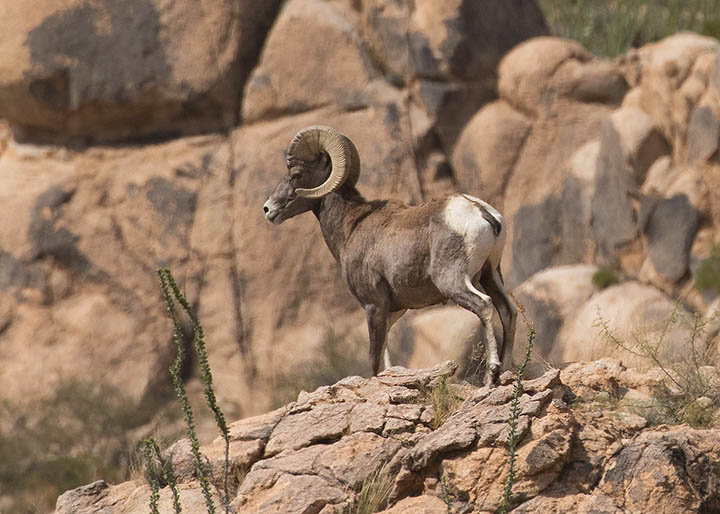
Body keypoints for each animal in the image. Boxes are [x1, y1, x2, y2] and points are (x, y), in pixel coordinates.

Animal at [264, 125, 516, 384]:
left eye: (296, 174)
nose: (268, 209)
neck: (351, 227)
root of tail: (482, 213)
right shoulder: (393, 311)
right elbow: (385, 355)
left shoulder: (374, 305)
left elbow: (375, 360)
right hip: (491, 275)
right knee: (508, 310)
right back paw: (505, 371)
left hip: (453, 282)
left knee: (484, 305)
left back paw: (492, 373)